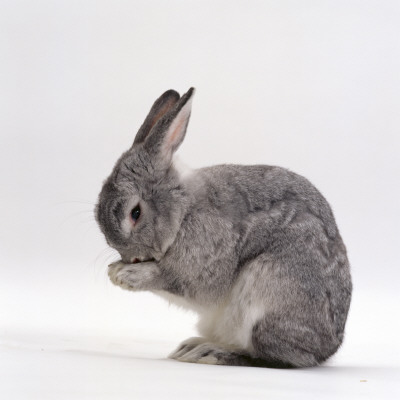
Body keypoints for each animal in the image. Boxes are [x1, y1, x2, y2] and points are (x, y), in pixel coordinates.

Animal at [95, 88, 352, 368]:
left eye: (136, 213)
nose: (131, 258)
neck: (185, 209)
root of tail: (327, 350)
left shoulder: (202, 266)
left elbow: (172, 279)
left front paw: (124, 275)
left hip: (268, 297)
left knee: (270, 357)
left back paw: (211, 352)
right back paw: (191, 347)